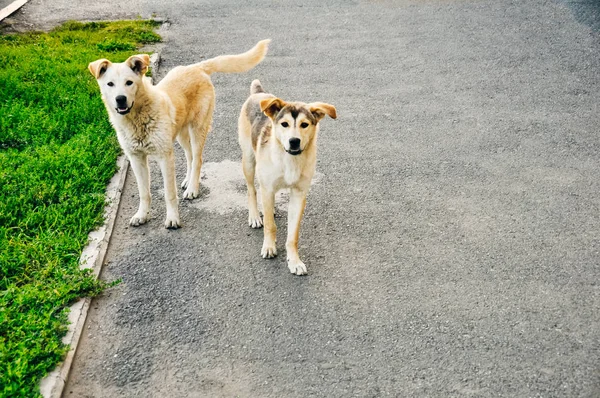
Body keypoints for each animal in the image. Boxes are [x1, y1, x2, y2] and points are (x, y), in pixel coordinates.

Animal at [88, 39, 270, 230]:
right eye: (110, 84)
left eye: (129, 82)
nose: (120, 99)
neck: (137, 119)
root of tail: (196, 67)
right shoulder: (136, 158)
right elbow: (144, 192)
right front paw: (142, 215)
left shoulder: (165, 157)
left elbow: (169, 193)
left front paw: (173, 218)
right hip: (181, 135)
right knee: (190, 157)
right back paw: (188, 182)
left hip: (197, 129)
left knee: (197, 159)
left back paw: (193, 188)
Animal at [237, 79, 336, 276]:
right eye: (284, 124)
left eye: (304, 124)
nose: (294, 141)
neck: (290, 158)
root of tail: (258, 94)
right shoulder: (268, 187)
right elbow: (270, 225)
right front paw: (269, 247)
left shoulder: (299, 194)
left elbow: (293, 235)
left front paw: (294, 261)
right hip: (249, 160)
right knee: (252, 189)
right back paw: (254, 216)